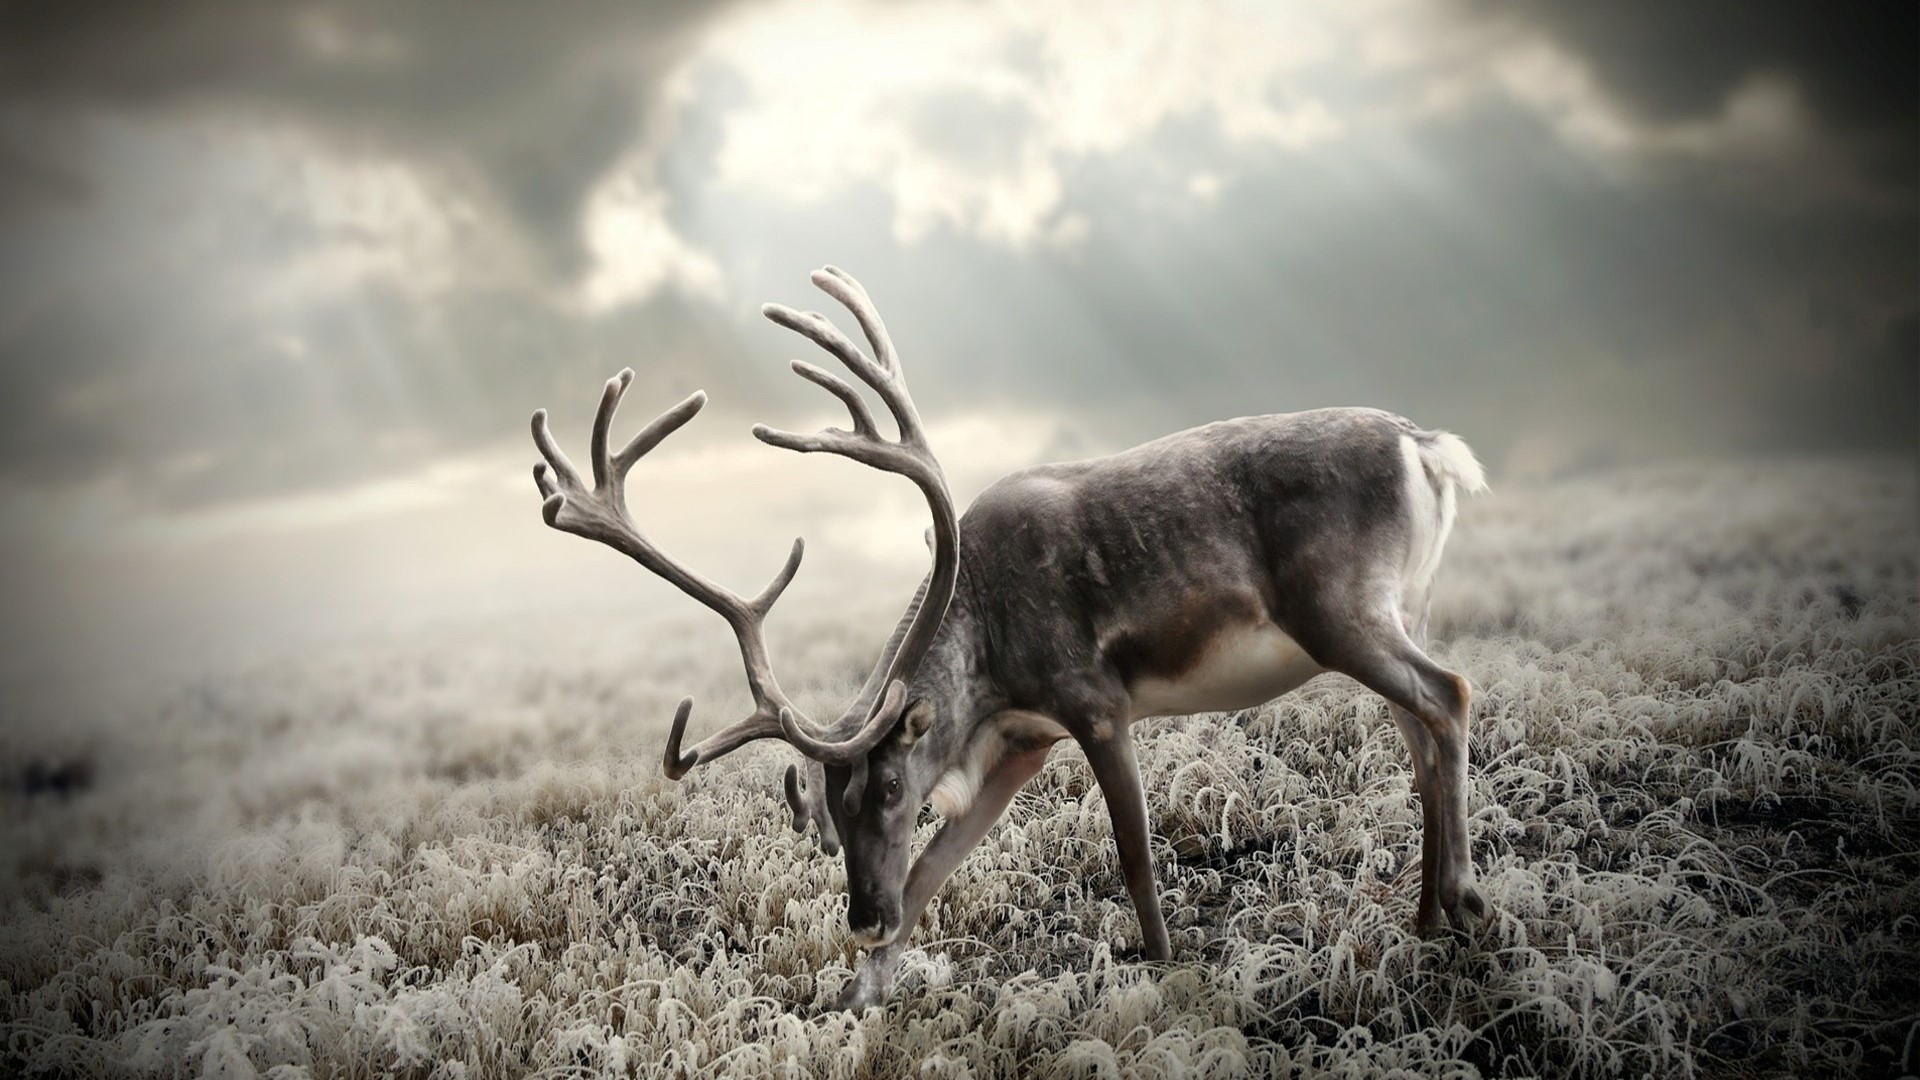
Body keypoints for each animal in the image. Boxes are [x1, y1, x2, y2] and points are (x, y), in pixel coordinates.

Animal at [531, 266, 1490, 1011]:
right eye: (830, 808)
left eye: (887, 788)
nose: (862, 918)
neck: (988, 663)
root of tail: (1427, 447)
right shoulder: (1024, 741)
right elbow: (930, 874)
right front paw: (858, 996)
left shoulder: (1092, 701)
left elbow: (1135, 858)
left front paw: (1165, 969)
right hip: (1398, 608)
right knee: (1420, 731)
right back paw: (1423, 921)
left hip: (1340, 609)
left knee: (1449, 693)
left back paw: (1466, 900)